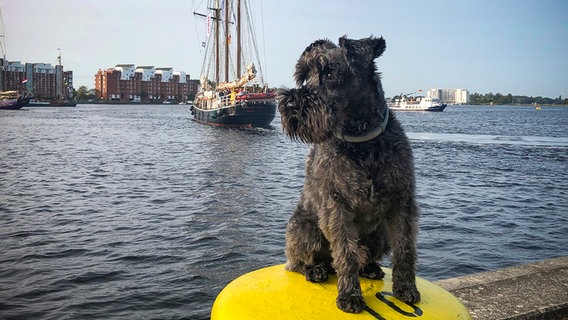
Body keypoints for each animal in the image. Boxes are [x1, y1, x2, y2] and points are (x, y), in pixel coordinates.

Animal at [278, 35, 420, 312]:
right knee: (299, 263)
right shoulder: (336, 207)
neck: (362, 142)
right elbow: (345, 253)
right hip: (304, 229)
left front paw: (406, 289)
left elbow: (405, 249)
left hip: (380, 233)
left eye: (329, 72)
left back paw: (371, 268)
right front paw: (350, 295)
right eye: (304, 76)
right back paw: (316, 270)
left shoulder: (402, 202)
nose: (289, 104)